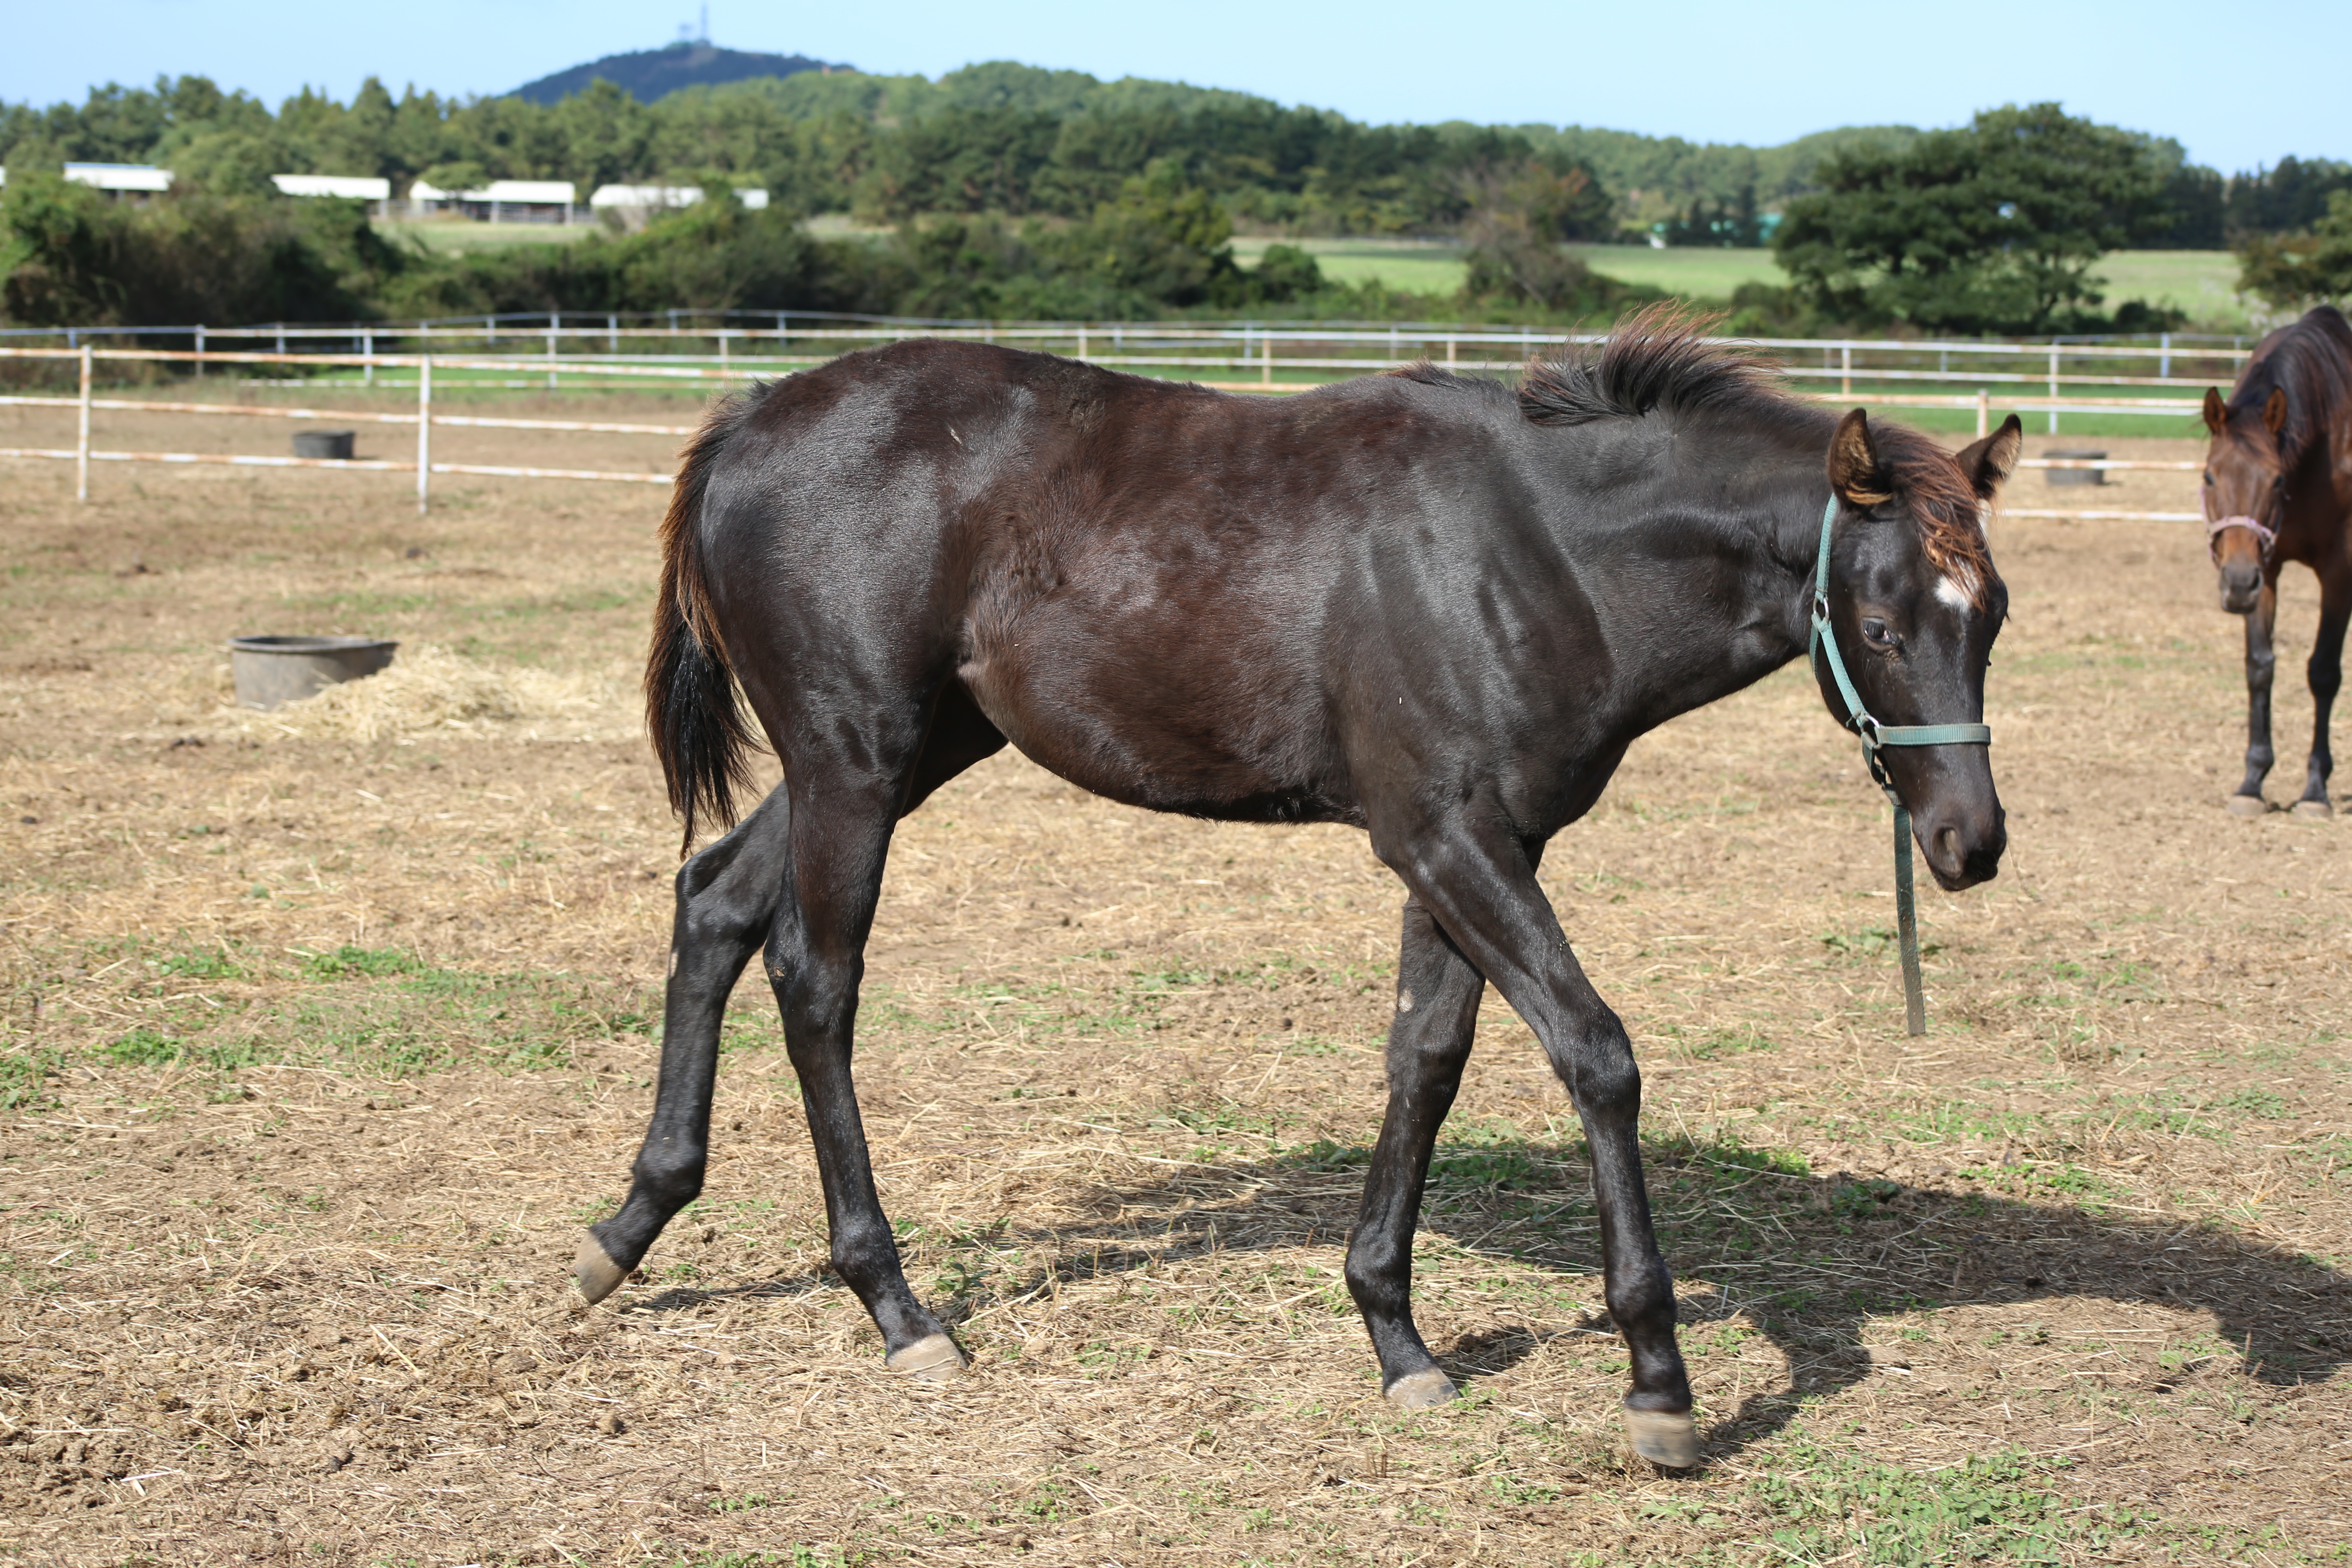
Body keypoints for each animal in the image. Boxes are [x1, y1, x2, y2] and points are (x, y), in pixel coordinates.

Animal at [574, 310, 2022, 1476]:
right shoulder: (1442, 837)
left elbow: (1426, 1056)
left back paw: (630, 1225)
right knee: (815, 981)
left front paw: (1398, 1334)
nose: (1970, 842)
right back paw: (896, 1307)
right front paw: (1658, 1384)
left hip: (907, 750)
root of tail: (751, 415)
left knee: (714, 900)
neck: (1535, 548)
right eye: (1882, 625)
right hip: (854, 762)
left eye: (1995, 613)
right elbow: (1593, 1051)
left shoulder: (1485, 842)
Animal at [2201, 308, 2352, 822]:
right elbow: (2259, 666)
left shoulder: (2339, 570)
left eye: (2277, 479)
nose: (2235, 585)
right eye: (2209, 475)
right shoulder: (2263, 568)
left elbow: (2324, 672)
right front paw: (2252, 781)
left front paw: (2315, 790)